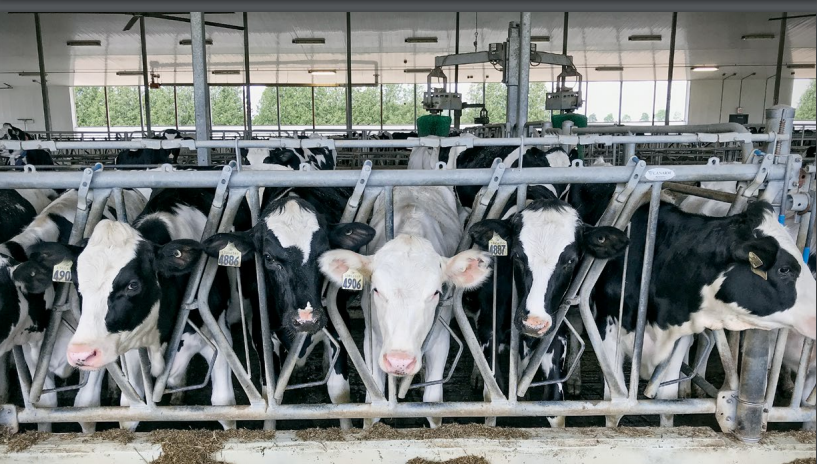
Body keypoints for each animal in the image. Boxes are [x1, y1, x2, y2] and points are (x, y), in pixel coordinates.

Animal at [201, 187, 372, 430]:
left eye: (325, 253)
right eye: (268, 257)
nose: (306, 319)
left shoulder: (339, 323)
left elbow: (339, 394)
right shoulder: (260, 334)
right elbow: (269, 396)